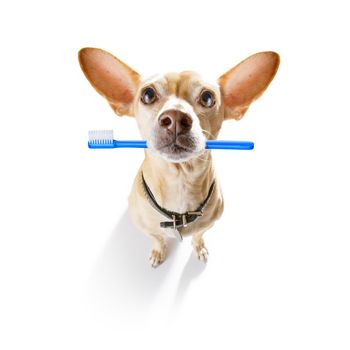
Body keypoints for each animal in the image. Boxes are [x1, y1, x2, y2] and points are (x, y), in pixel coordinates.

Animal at [78, 47, 278, 268]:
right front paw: (158, 252)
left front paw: (199, 248)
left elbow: (198, 235)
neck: (179, 181)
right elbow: (158, 238)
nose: (175, 117)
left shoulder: (208, 225)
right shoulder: (147, 229)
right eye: (148, 94)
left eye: (208, 98)